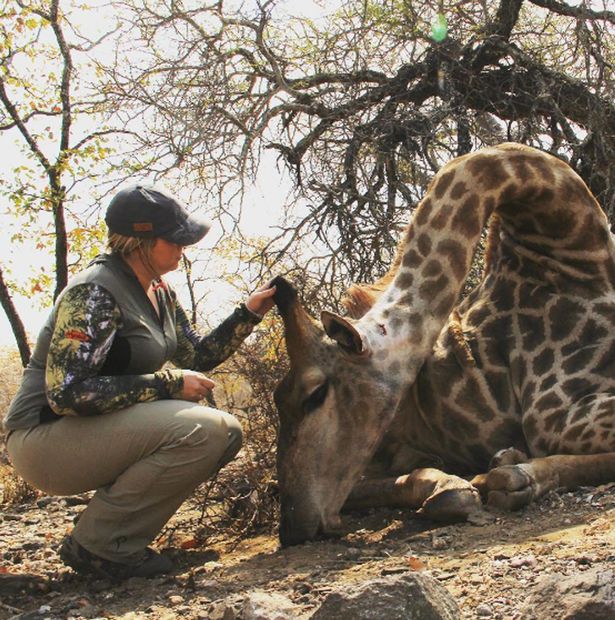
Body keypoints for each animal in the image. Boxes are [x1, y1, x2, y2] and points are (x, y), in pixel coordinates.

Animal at [272, 142, 615, 548]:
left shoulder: (561, 414)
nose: (292, 527)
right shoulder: (551, 415)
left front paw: (512, 471)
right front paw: (501, 477)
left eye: (314, 393)